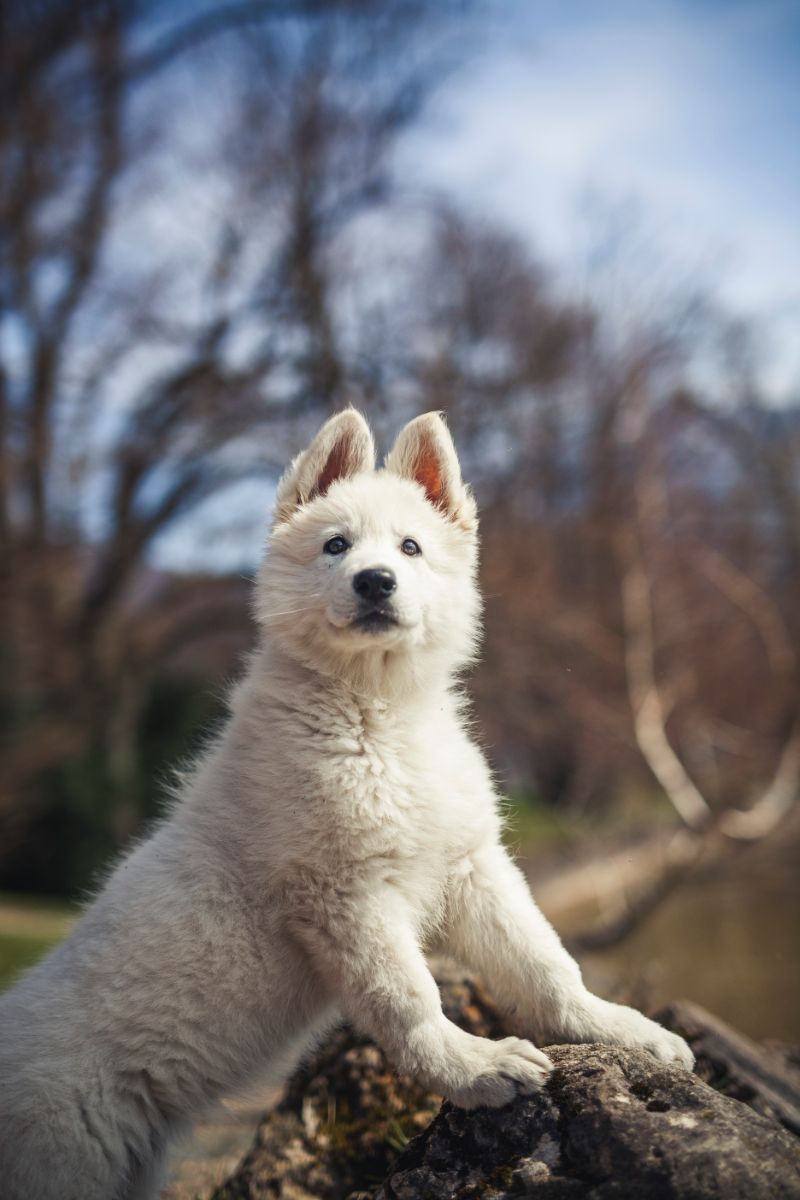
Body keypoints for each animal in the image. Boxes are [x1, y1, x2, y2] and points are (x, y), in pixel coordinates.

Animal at [0, 412, 690, 1200]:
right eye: (336, 545)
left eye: (410, 547)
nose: (375, 580)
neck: (376, 713)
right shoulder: (343, 893)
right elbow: (409, 999)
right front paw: (475, 1069)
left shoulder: (470, 866)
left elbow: (546, 963)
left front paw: (618, 1029)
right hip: (63, 1160)